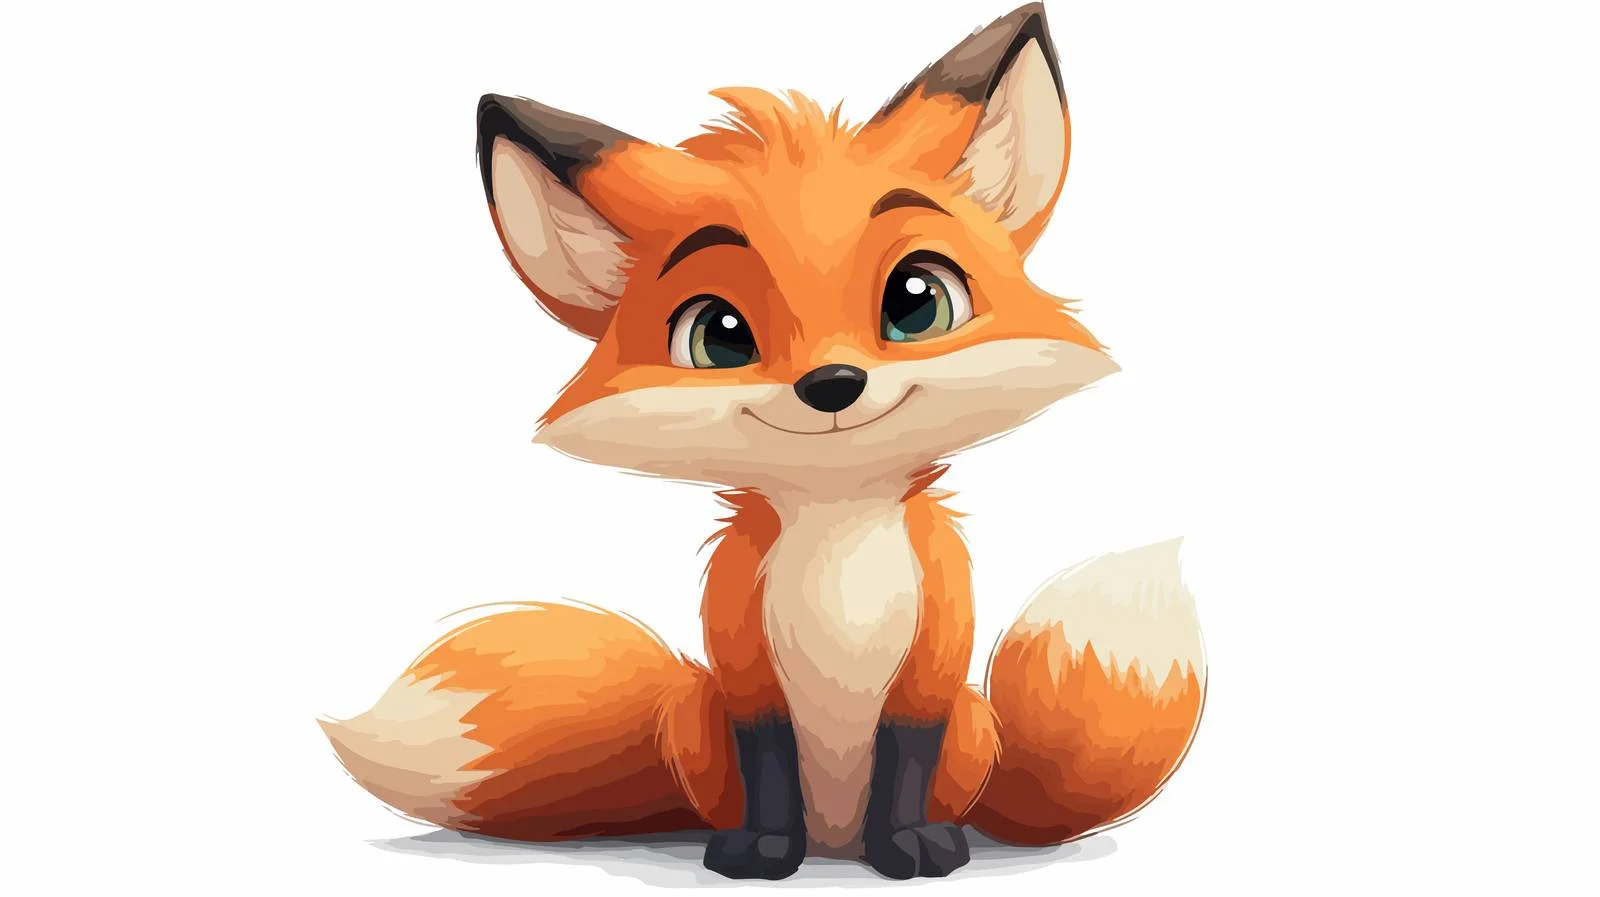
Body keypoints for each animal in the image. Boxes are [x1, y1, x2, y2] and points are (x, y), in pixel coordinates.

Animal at [321, 3, 1206, 881]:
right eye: (719, 335)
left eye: (917, 302)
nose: (832, 384)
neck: (836, 536)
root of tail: (836, 845)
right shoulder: (745, 667)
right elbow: (771, 763)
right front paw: (763, 854)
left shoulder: (931, 667)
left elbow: (905, 759)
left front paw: (911, 848)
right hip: (692, 718)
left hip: (972, 725)